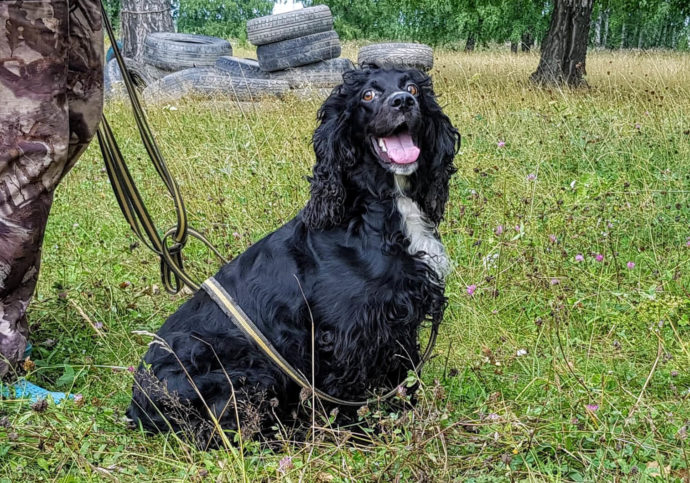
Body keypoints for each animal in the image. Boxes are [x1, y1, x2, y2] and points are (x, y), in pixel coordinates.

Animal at [126, 66, 460, 447]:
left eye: (413, 88)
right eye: (368, 95)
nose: (402, 102)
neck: (379, 213)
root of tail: (137, 404)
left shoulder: (399, 325)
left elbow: (403, 377)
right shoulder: (348, 335)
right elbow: (350, 392)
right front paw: (359, 435)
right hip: (248, 371)